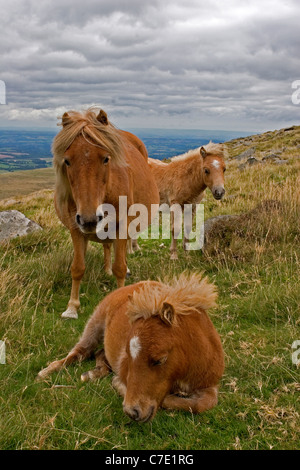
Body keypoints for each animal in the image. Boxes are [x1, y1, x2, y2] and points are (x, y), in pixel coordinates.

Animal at [37, 272, 224, 422]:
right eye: (128, 355)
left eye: (160, 360)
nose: (131, 411)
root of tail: (131, 285)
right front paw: (119, 385)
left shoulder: (209, 384)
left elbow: (201, 403)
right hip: (94, 325)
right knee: (80, 352)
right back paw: (46, 372)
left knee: (100, 353)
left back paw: (93, 373)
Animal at [51, 108, 159, 318]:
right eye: (67, 161)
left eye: (106, 158)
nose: (89, 219)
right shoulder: (76, 228)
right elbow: (77, 267)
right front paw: (72, 307)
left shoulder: (122, 226)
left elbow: (120, 267)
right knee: (107, 246)